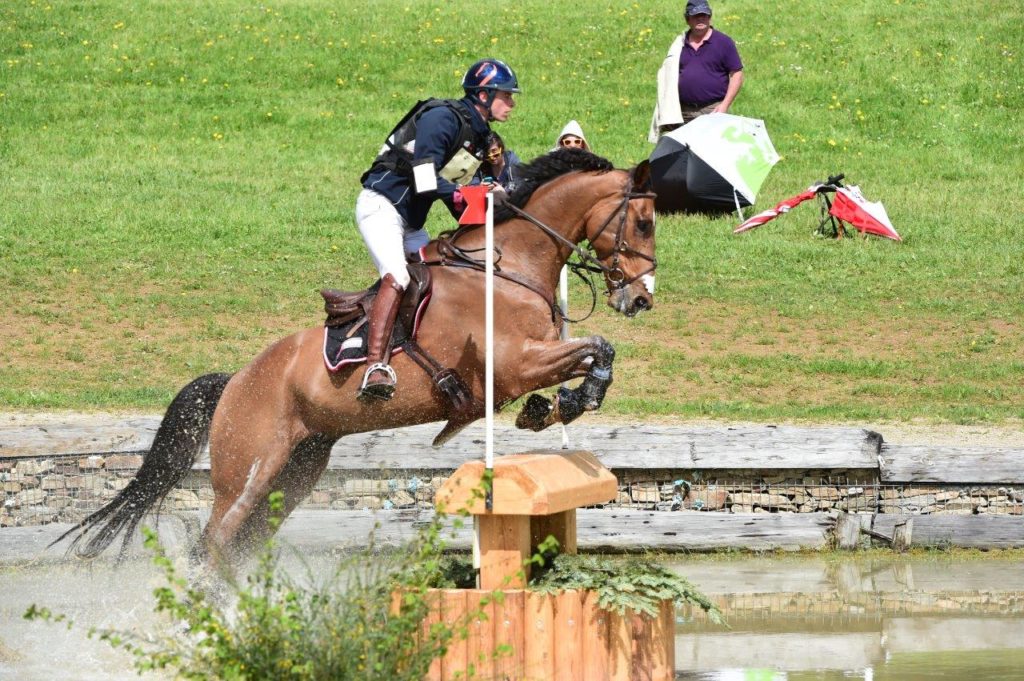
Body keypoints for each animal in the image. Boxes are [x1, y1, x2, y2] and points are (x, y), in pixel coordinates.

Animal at [56, 147, 659, 561]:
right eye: (646, 221)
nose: (641, 298)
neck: (502, 264)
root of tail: (235, 381)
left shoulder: (533, 360)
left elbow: (593, 354)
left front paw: (554, 409)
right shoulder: (513, 365)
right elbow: (597, 348)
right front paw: (565, 402)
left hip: (297, 471)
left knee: (239, 546)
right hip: (249, 469)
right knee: (215, 542)